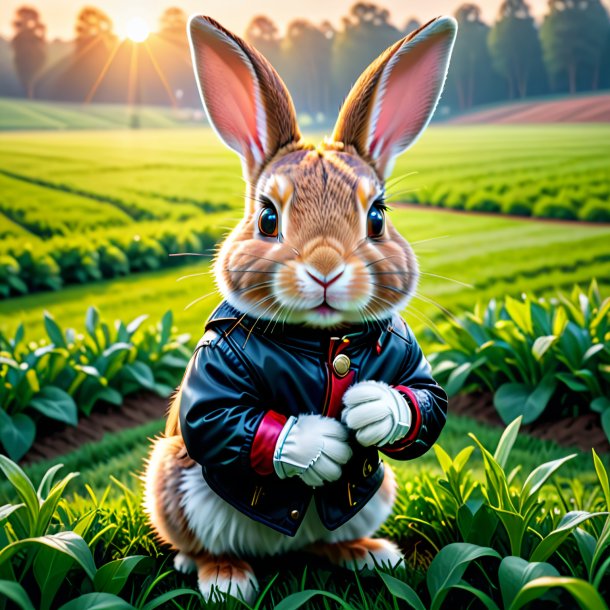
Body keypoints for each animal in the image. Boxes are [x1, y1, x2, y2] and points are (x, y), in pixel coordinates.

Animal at [142, 14, 454, 604]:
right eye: (268, 218)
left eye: (377, 217)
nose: (325, 268)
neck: (321, 342)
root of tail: (283, 549)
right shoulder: (217, 362)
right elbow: (214, 418)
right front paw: (315, 444)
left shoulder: (408, 356)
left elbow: (426, 403)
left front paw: (375, 410)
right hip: (173, 482)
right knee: (204, 541)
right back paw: (222, 576)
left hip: (377, 493)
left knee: (329, 541)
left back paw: (367, 554)